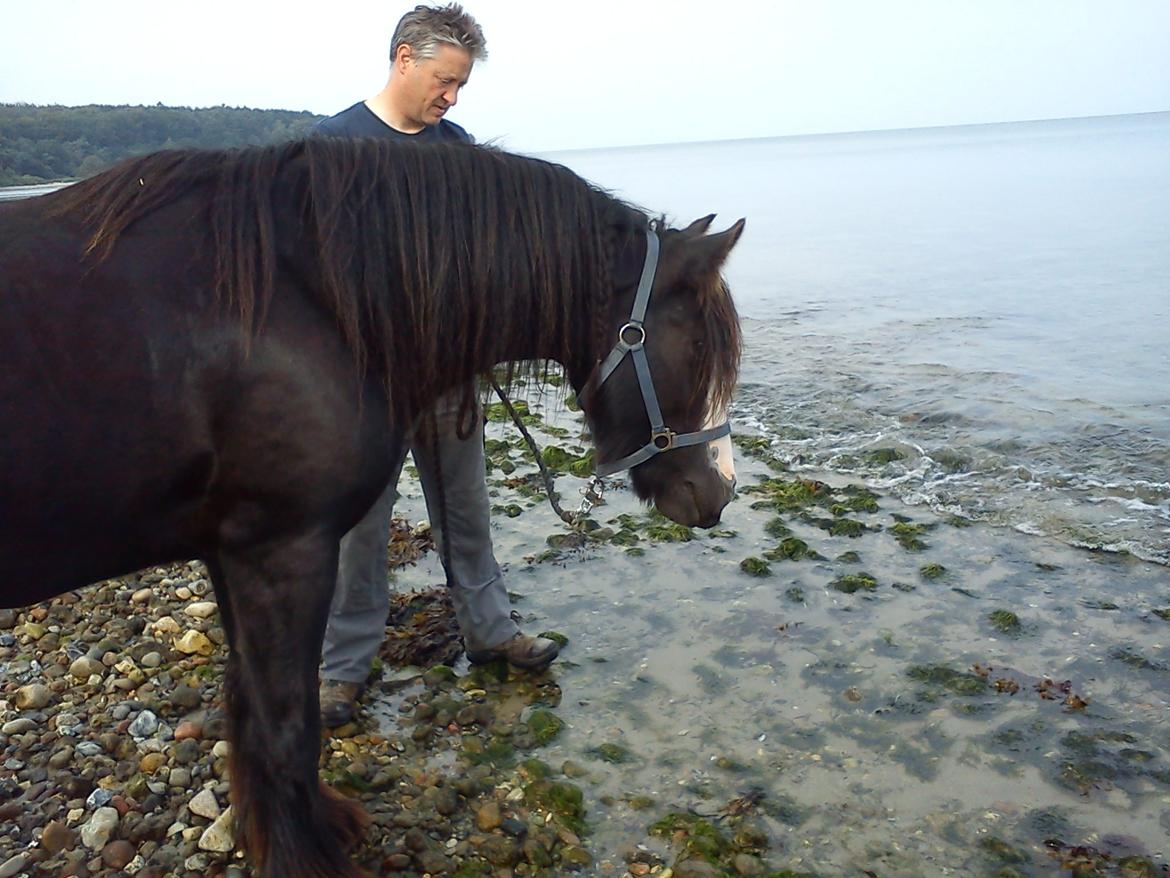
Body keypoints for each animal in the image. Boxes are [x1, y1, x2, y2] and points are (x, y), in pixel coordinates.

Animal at [0, 139, 744, 878]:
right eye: (698, 347)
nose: (720, 493)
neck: (303, 293)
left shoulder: (229, 554)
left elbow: (247, 705)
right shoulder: (282, 551)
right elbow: (286, 723)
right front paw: (304, 858)